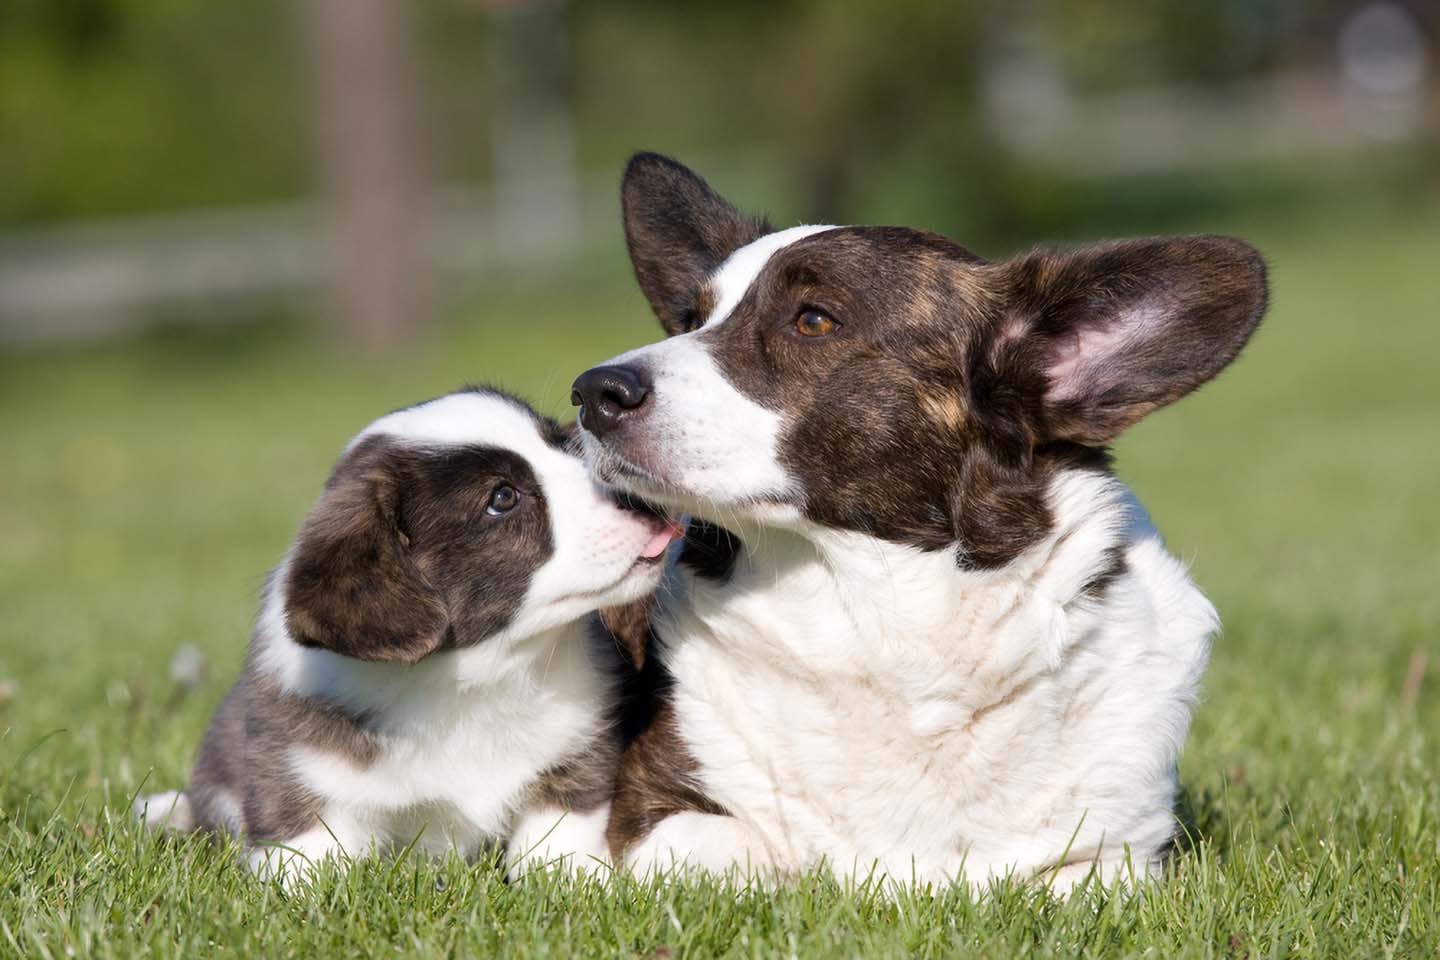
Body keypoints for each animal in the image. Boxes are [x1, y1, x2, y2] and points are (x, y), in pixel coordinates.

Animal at [133, 385, 679, 880]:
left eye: (562, 443)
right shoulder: (304, 780)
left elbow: (557, 842)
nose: (641, 493)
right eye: (502, 497)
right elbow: (306, 861)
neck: (477, 678)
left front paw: (574, 885)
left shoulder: (574, 760)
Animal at [567, 156, 1267, 892]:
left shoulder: (1116, 858)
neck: (868, 612)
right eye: (690, 319)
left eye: (813, 320)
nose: (593, 393)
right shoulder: (653, 817)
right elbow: (752, 850)